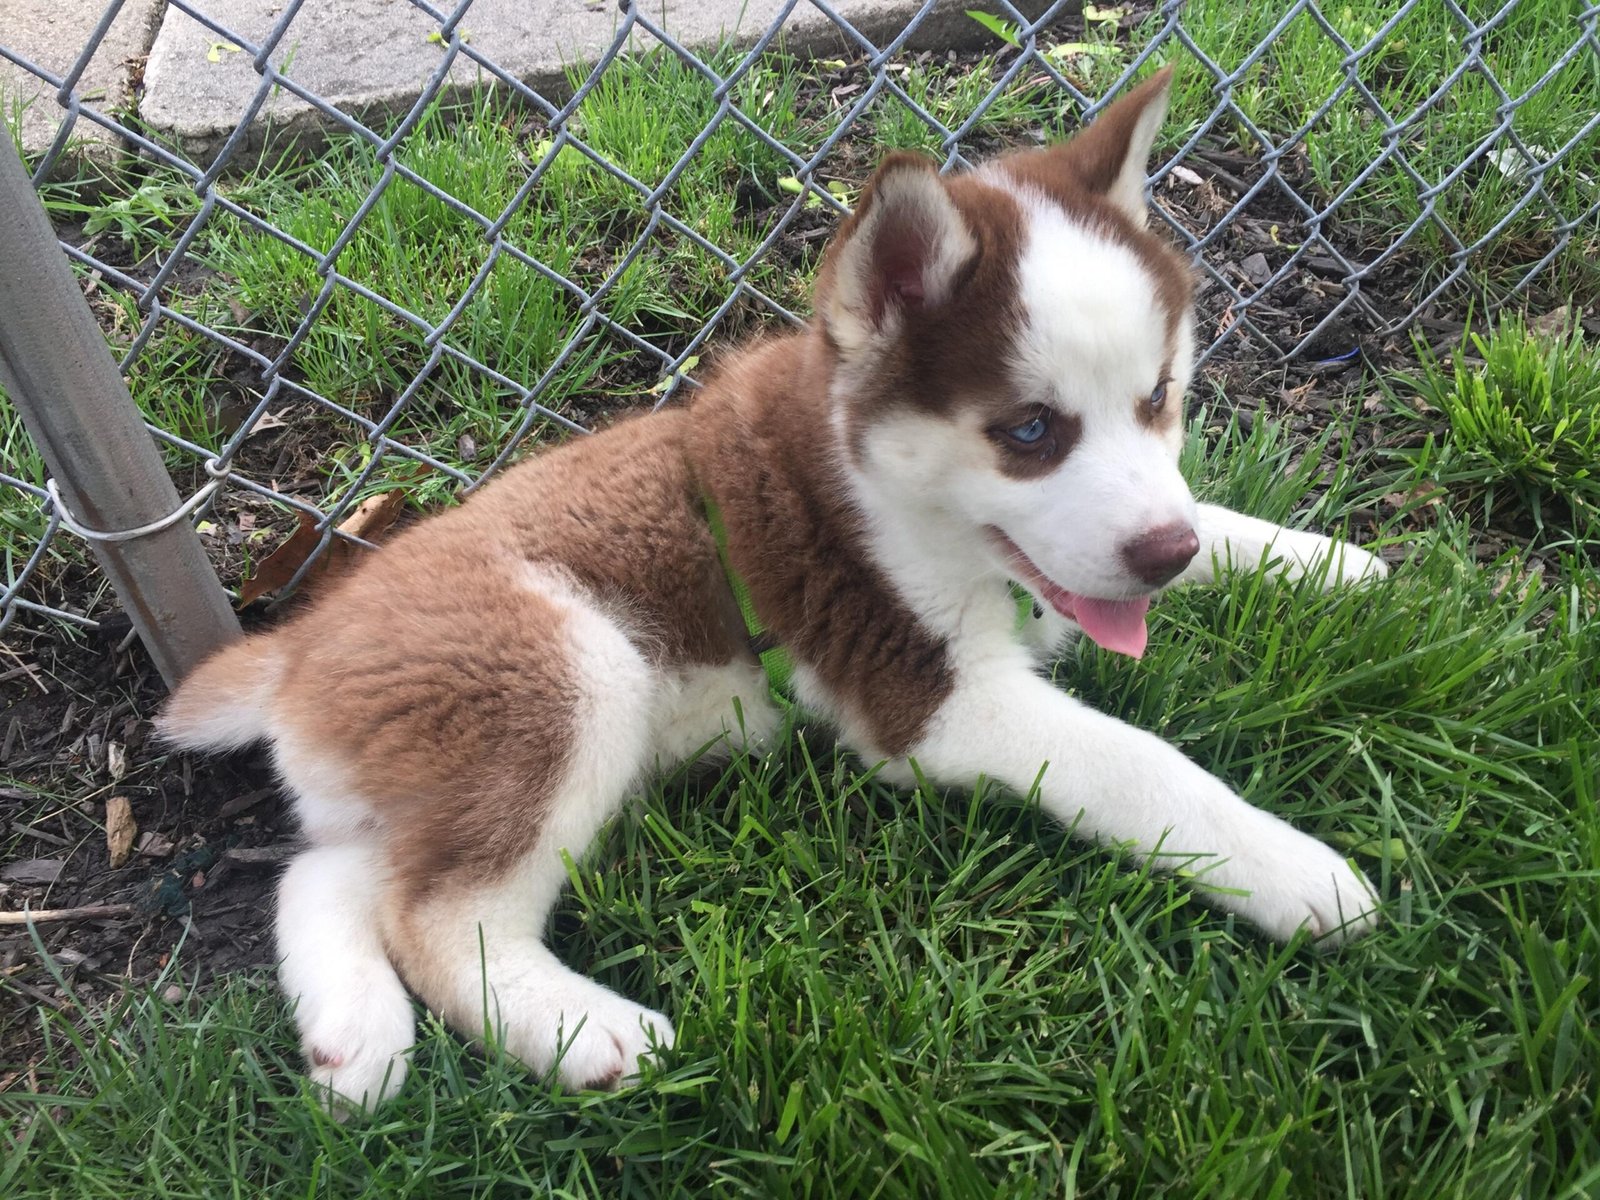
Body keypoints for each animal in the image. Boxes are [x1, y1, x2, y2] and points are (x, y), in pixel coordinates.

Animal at [159, 70, 1388, 1113]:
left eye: (1160, 398)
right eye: (1031, 432)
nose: (1161, 558)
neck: (872, 484)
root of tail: (302, 642)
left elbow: (1214, 523)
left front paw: (1328, 563)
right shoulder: (924, 698)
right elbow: (1139, 763)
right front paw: (1301, 874)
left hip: (419, 763)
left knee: (323, 876)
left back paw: (356, 1042)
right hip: (565, 671)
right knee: (434, 915)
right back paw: (585, 1033)